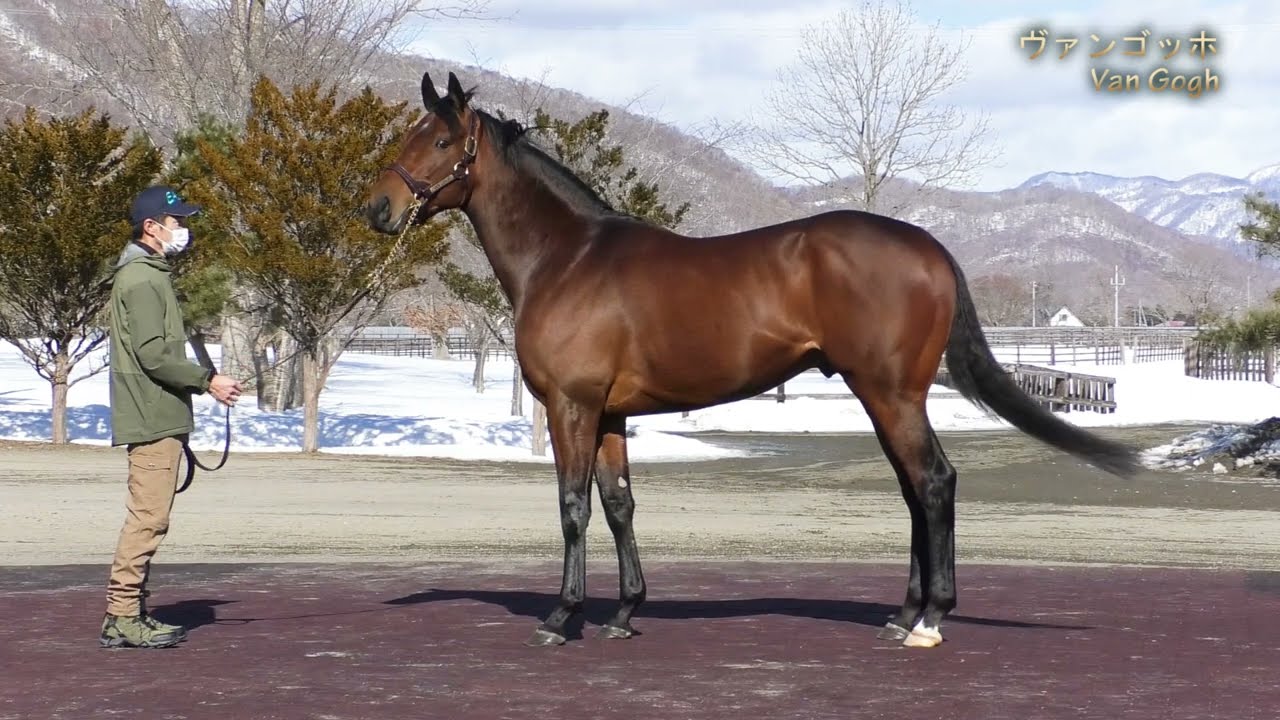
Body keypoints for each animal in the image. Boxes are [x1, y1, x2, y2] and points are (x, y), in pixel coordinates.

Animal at [364, 70, 1140, 650]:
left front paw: (562, 616)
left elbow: (572, 507)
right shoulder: (609, 413)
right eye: (408, 134)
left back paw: (929, 620)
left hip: (890, 394)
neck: (568, 258)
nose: (378, 208)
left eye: (440, 139)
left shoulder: (571, 406)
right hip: (888, 398)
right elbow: (619, 505)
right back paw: (902, 613)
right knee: (915, 490)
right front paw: (625, 612)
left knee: (934, 483)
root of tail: (929, 247)